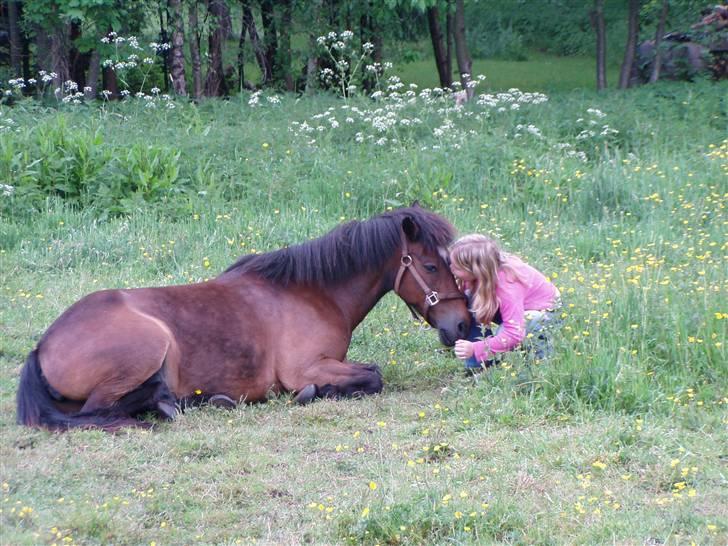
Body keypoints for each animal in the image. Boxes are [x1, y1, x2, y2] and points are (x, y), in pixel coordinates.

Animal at [19, 204, 472, 430]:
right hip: (148, 346)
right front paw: (313, 394)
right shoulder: (308, 367)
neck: (310, 292)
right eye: (430, 266)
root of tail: (42, 347)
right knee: (98, 411)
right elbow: (373, 375)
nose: (464, 324)